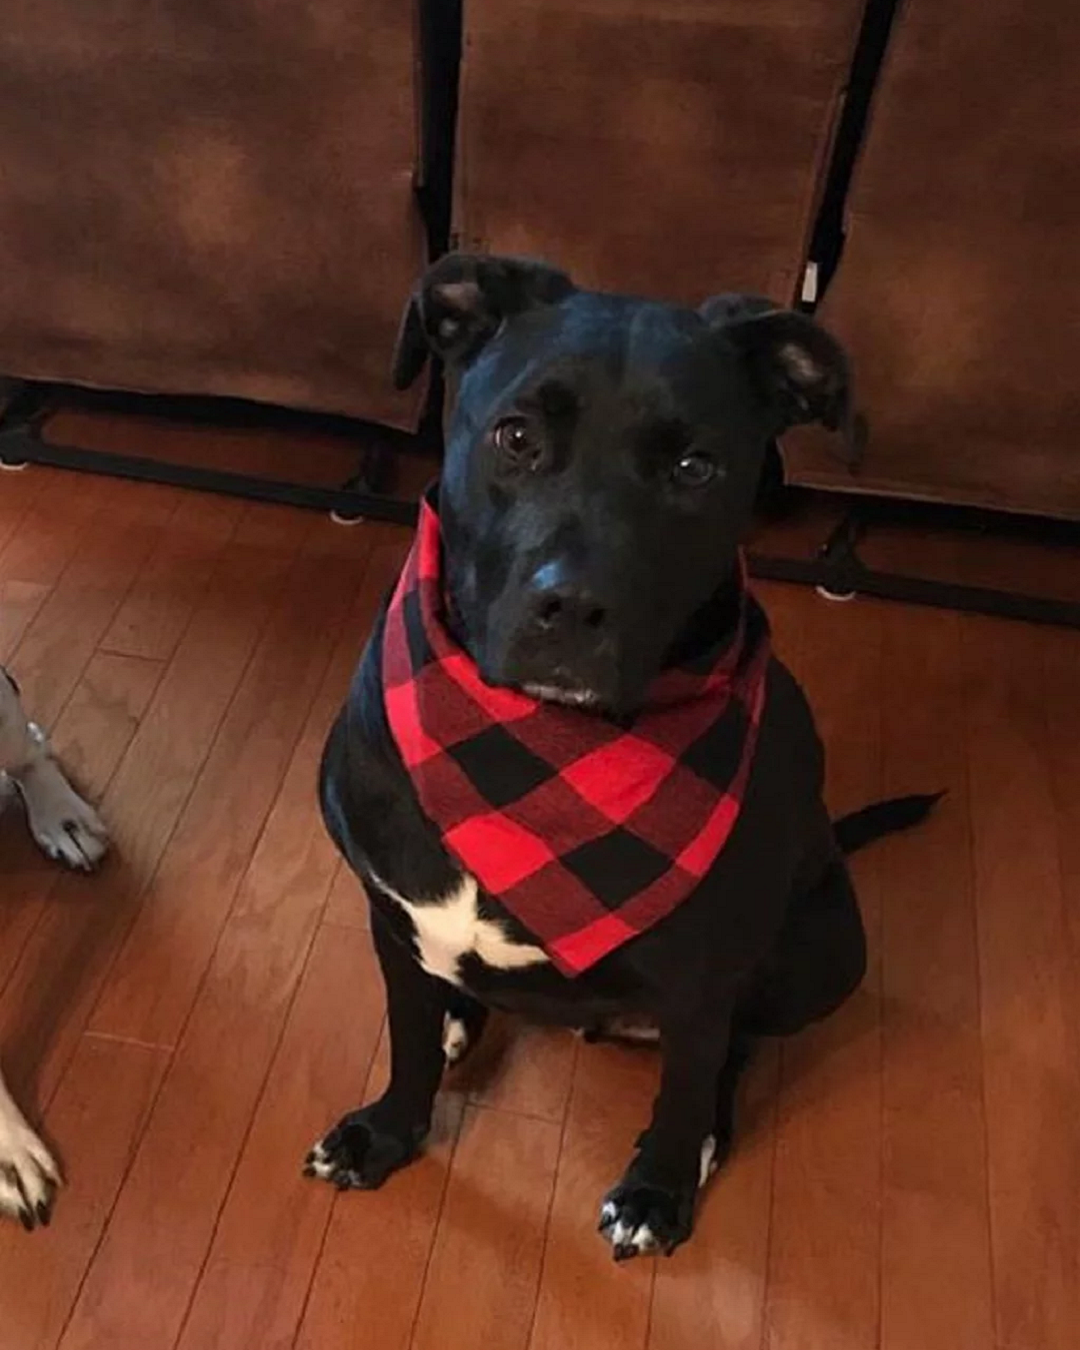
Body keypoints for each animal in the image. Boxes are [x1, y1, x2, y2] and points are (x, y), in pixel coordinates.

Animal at [306, 257, 934, 1258]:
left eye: (694, 468)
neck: (534, 758)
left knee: (734, 1048)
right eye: (515, 436)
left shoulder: (702, 975)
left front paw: (658, 1189)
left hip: (827, 952)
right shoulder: (388, 918)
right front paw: (389, 1131)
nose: (573, 607)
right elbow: (405, 1040)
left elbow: (684, 1091)